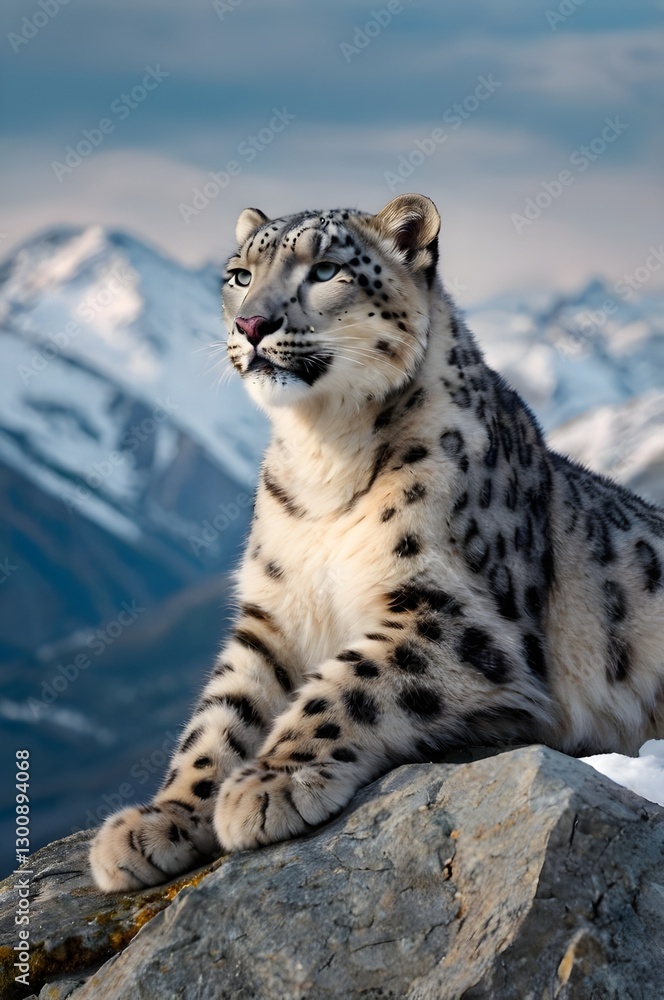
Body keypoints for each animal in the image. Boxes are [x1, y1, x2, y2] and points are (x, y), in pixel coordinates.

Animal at [90, 193, 664, 892]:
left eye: (326, 269)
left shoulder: (457, 616)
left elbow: (345, 685)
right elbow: (218, 716)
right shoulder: (272, 616)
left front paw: (270, 784)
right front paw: (156, 821)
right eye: (240, 276)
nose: (252, 324)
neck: (322, 460)